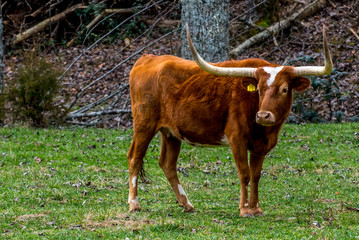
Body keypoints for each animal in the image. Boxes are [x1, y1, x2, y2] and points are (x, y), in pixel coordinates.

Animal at [127, 25, 334, 217]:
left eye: (284, 89)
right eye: (259, 89)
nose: (263, 115)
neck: (264, 130)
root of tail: (147, 58)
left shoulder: (260, 146)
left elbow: (256, 175)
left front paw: (256, 208)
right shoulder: (237, 139)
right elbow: (244, 173)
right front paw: (244, 209)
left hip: (170, 132)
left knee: (167, 164)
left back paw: (186, 204)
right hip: (144, 124)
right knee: (135, 158)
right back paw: (134, 204)